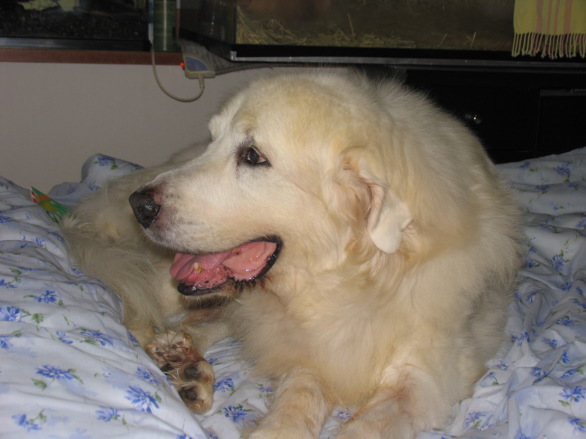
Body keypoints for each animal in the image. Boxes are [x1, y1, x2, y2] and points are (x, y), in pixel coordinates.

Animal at [62, 69, 521, 438]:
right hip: (164, 282)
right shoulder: (311, 350)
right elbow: (300, 392)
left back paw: (188, 363)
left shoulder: (425, 382)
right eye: (213, 141)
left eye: (252, 156)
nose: (140, 206)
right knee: (139, 311)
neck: (365, 278)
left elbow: (365, 426)